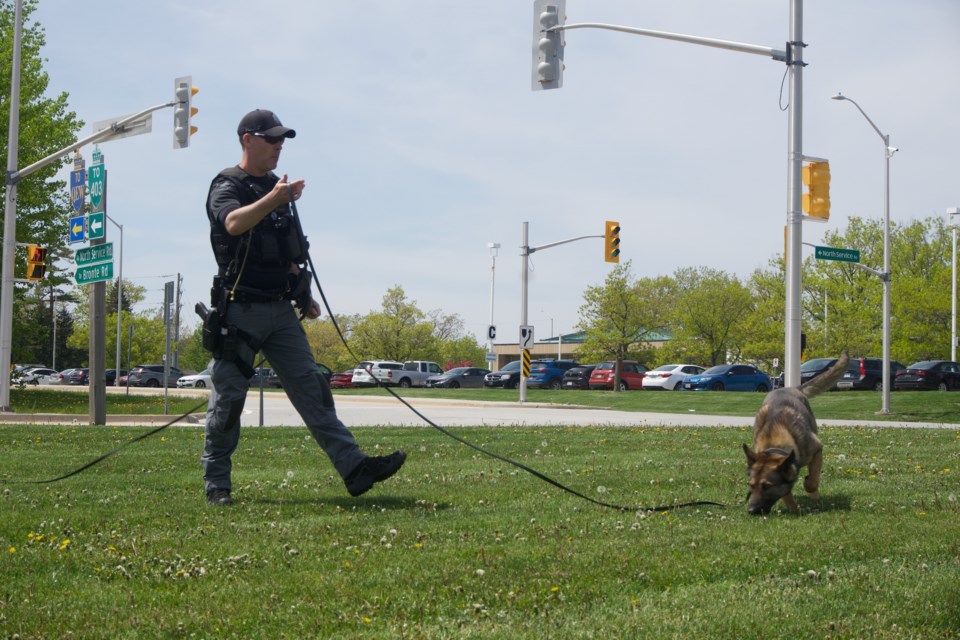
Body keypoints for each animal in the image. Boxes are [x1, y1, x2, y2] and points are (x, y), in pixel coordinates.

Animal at [744, 356, 848, 516]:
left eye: (767, 486)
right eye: (751, 485)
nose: (751, 510)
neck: (775, 442)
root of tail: (791, 388)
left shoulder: (817, 449)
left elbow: (813, 481)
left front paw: (808, 486)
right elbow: (786, 493)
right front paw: (794, 508)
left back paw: (815, 496)